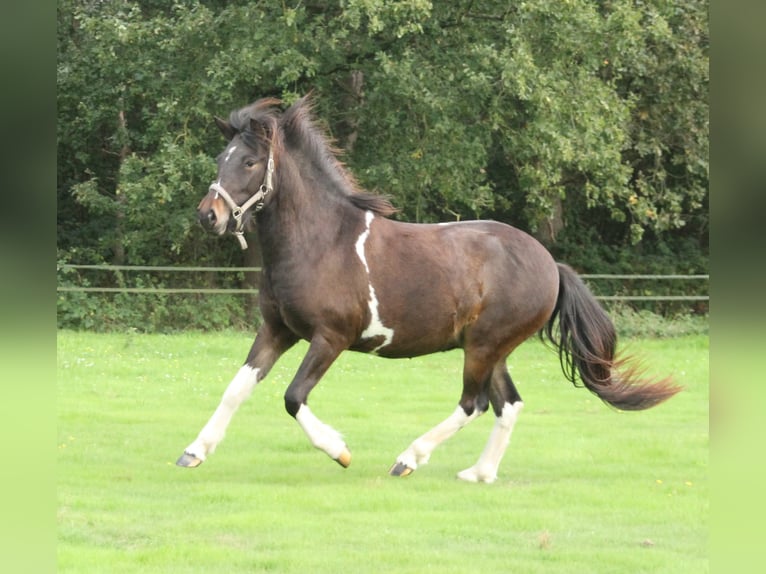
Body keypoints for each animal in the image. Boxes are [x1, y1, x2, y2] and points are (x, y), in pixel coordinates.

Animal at [177, 95, 681, 483]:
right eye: (220, 159)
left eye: (249, 161)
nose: (208, 216)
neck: (319, 242)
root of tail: (551, 266)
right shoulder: (278, 330)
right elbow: (236, 389)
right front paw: (194, 452)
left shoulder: (331, 337)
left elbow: (293, 397)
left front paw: (340, 450)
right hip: (492, 348)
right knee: (508, 404)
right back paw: (478, 473)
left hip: (484, 345)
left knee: (474, 403)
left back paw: (409, 459)